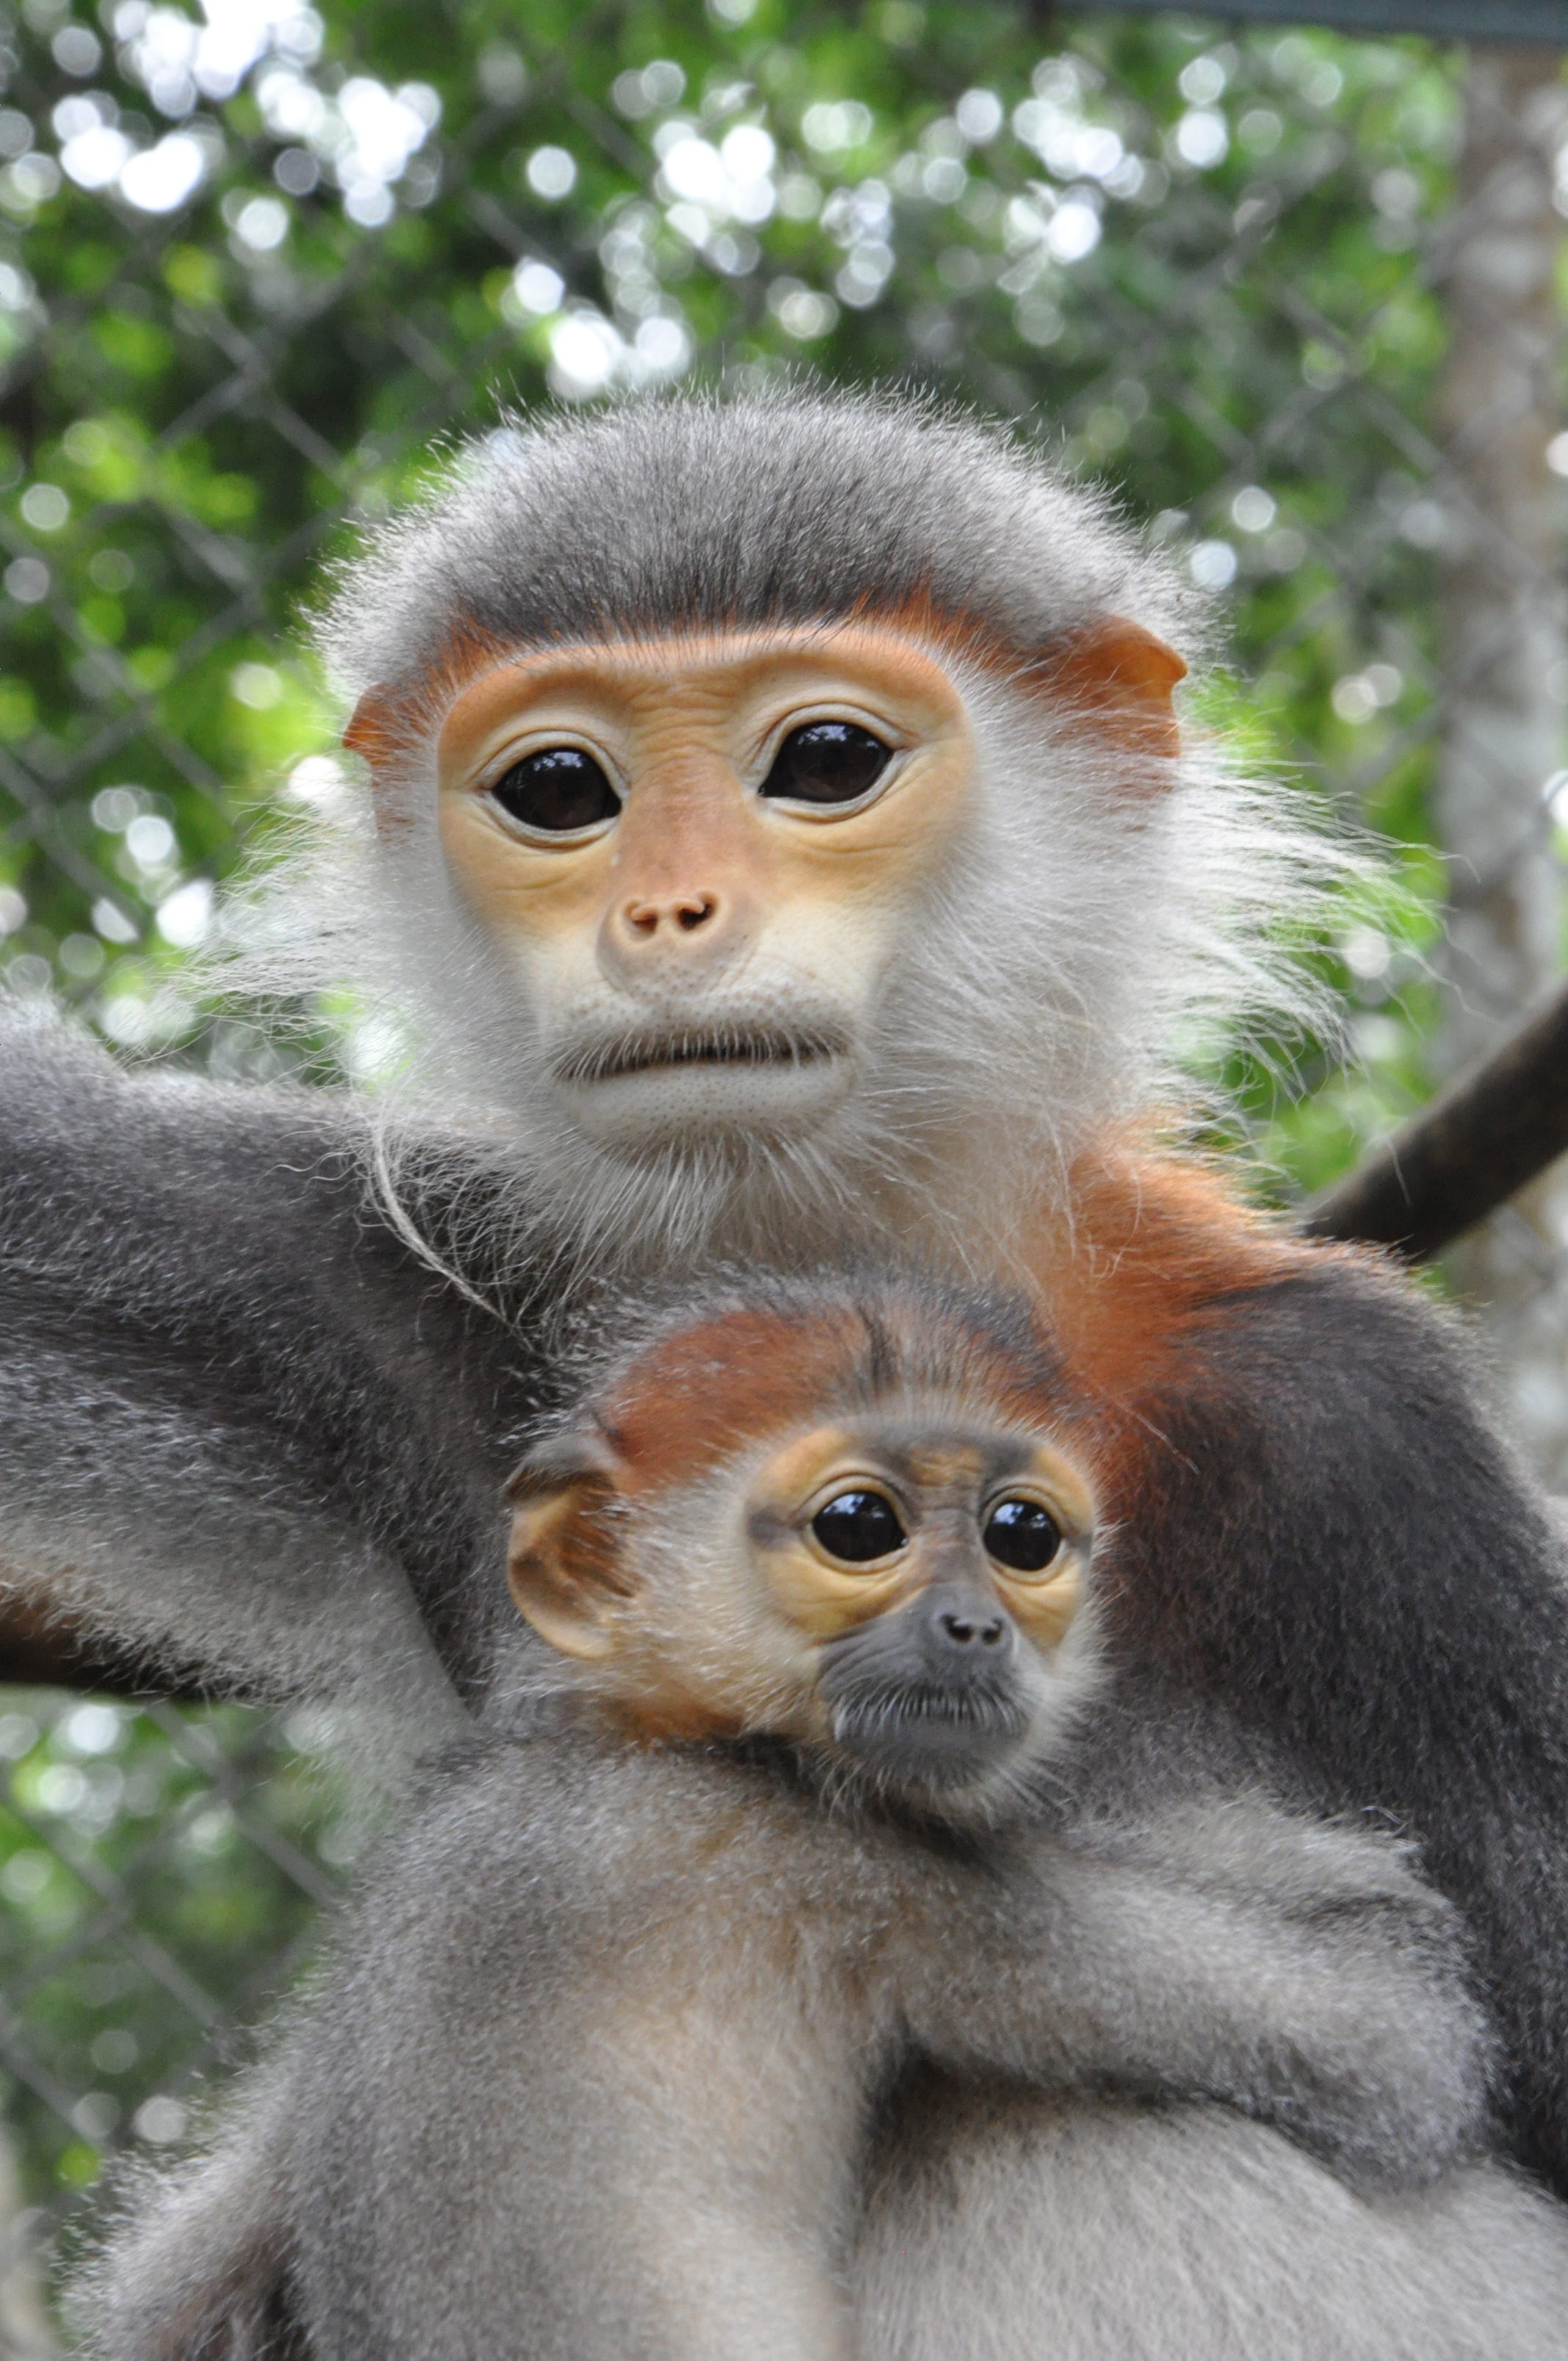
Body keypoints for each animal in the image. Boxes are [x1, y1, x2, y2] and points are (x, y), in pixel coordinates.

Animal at [73, 1273, 1568, 2361]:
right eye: (861, 1525)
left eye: (1021, 1536)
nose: (974, 1627)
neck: (620, 1737)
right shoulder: (801, 1853)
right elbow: (1386, 2036)